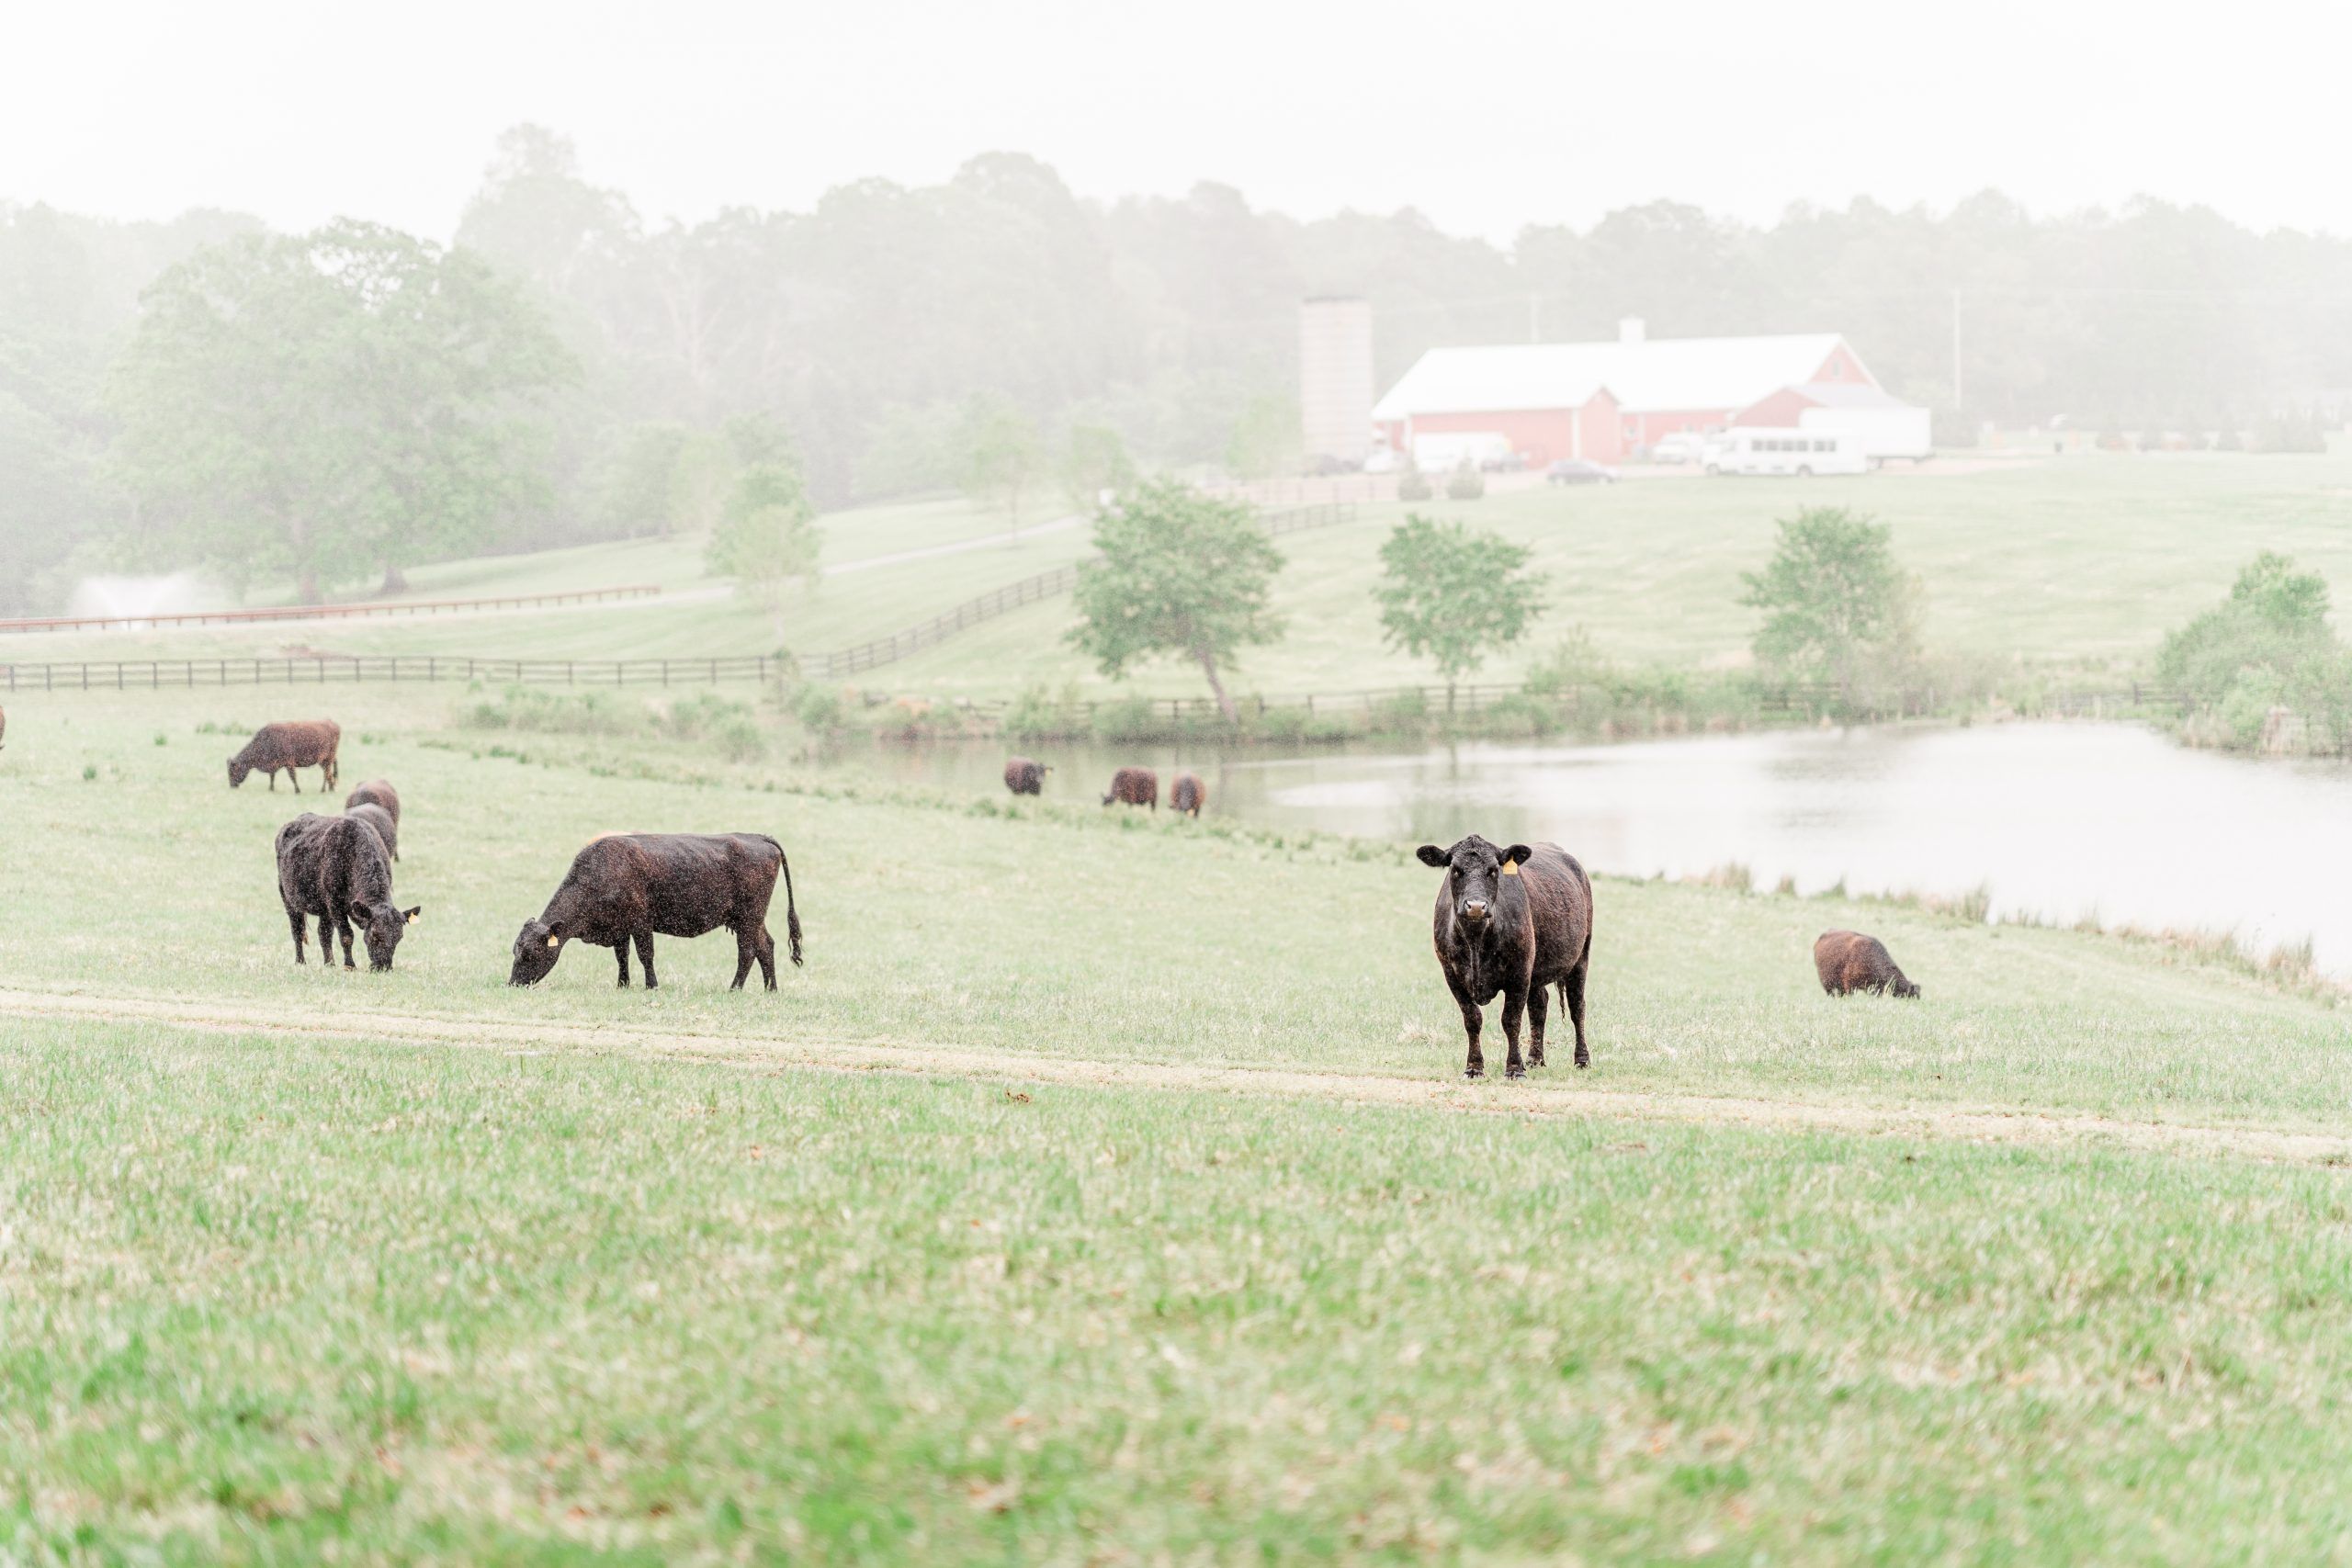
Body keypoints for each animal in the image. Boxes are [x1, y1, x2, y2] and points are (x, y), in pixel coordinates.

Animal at [274, 811, 419, 970]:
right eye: (374, 935)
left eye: (399, 937)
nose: (384, 967)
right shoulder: (335, 904)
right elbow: (346, 935)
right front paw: (349, 966)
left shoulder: (330, 906)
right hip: (289, 899)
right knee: (297, 930)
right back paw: (300, 961)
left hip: (324, 908)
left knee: (324, 933)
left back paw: (329, 963)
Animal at [508, 832, 803, 992]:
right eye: (515, 950)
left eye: (531, 953)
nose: (512, 983)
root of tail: (758, 837)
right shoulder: (620, 927)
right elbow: (622, 957)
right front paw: (623, 985)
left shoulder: (641, 922)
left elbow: (645, 955)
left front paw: (652, 985)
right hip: (750, 919)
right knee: (766, 946)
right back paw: (770, 989)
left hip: (748, 918)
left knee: (748, 951)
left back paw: (734, 988)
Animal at [1417, 833, 1595, 1079]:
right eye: (1455, 869)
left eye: (1494, 870)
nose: (1476, 906)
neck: (1476, 942)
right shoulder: (1452, 975)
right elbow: (1472, 1019)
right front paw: (1474, 1067)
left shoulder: (1519, 973)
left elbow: (1511, 1020)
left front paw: (1514, 1069)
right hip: (1537, 970)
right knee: (1539, 1006)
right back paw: (1535, 1059)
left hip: (1580, 958)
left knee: (1577, 1007)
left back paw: (1582, 1060)